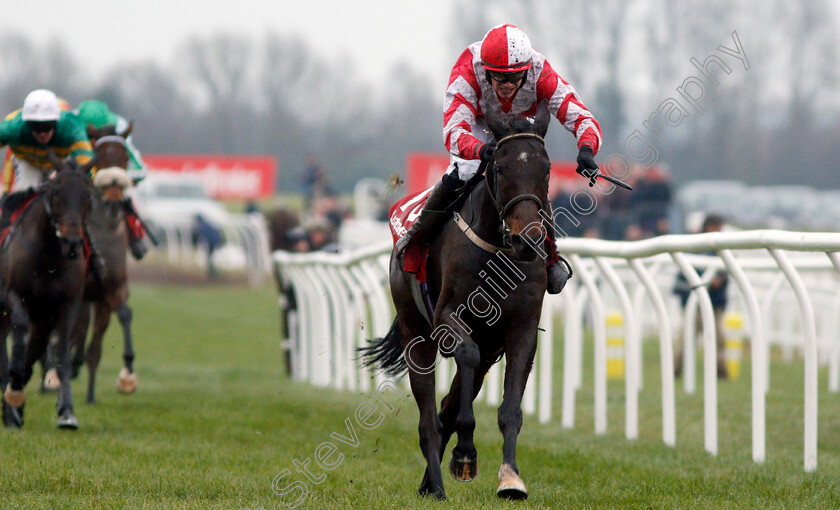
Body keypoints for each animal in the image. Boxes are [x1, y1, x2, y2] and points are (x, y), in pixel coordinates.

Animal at [0, 152, 95, 430]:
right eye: (55, 193)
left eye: (88, 195)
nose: (72, 242)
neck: (49, 258)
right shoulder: (13, 295)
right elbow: (20, 332)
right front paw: (13, 395)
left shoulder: (67, 304)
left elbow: (61, 349)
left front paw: (66, 412)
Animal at [360, 101, 556, 500]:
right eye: (499, 167)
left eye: (545, 169)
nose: (527, 240)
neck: (498, 253)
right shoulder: (450, 318)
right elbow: (464, 361)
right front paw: (465, 453)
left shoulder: (522, 328)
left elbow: (509, 408)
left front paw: (510, 478)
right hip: (416, 333)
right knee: (429, 418)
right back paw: (435, 485)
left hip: (490, 347)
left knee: (447, 406)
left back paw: (428, 481)